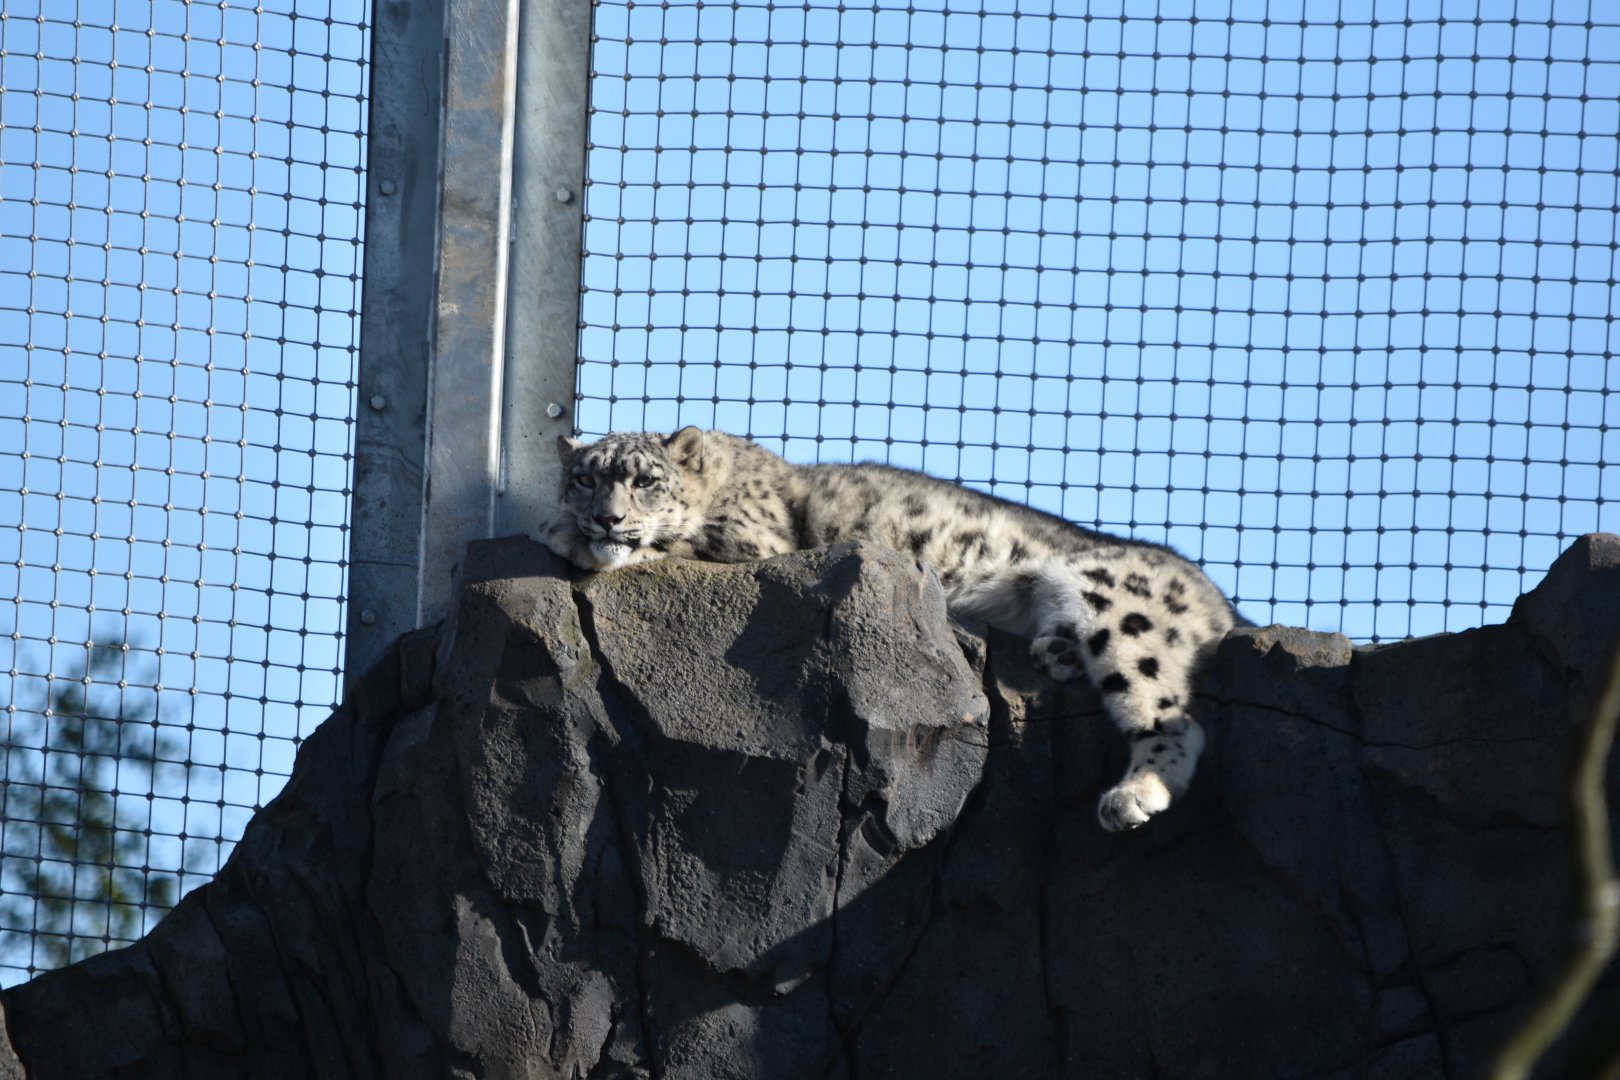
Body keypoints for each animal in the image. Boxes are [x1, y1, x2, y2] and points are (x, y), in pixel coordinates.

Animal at [537, 426, 1248, 831]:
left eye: (644, 481)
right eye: (584, 478)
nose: (605, 518)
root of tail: (1217, 599)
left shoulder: (755, 542)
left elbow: (678, 542)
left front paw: (562, 533)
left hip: (1117, 604)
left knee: (1175, 716)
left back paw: (1133, 795)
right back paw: (1056, 651)